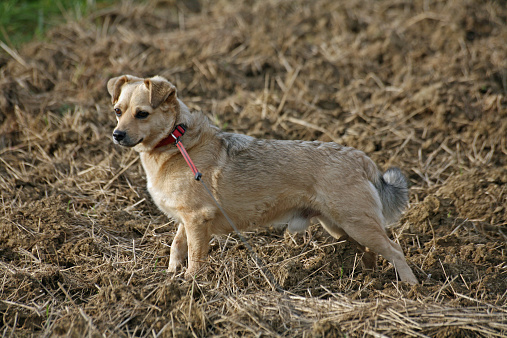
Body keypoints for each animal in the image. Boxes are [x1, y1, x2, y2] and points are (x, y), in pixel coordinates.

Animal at [108, 74, 420, 286]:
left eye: (142, 114)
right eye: (118, 111)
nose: (117, 135)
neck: (176, 141)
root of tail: (361, 158)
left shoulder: (197, 219)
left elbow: (195, 257)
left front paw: (191, 284)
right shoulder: (188, 220)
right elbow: (177, 246)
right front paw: (172, 276)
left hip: (357, 223)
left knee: (395, 249)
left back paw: (410, 287)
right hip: (340, 227)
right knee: (370, 252)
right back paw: (369, 277)